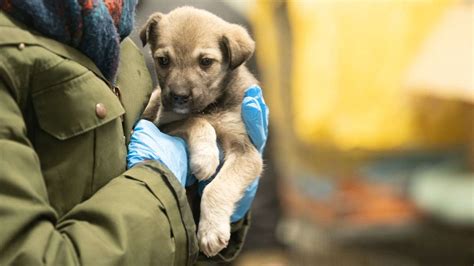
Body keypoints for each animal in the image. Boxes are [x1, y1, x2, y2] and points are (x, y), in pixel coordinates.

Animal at [139, 6, 264, 256]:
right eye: (163, 60)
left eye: (206, 62)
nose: (179, 96)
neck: (209, 108)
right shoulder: (164, 122)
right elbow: (196, 121)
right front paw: (205, 158)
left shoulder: (246, 151)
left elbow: (218, 187)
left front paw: (211, 230)